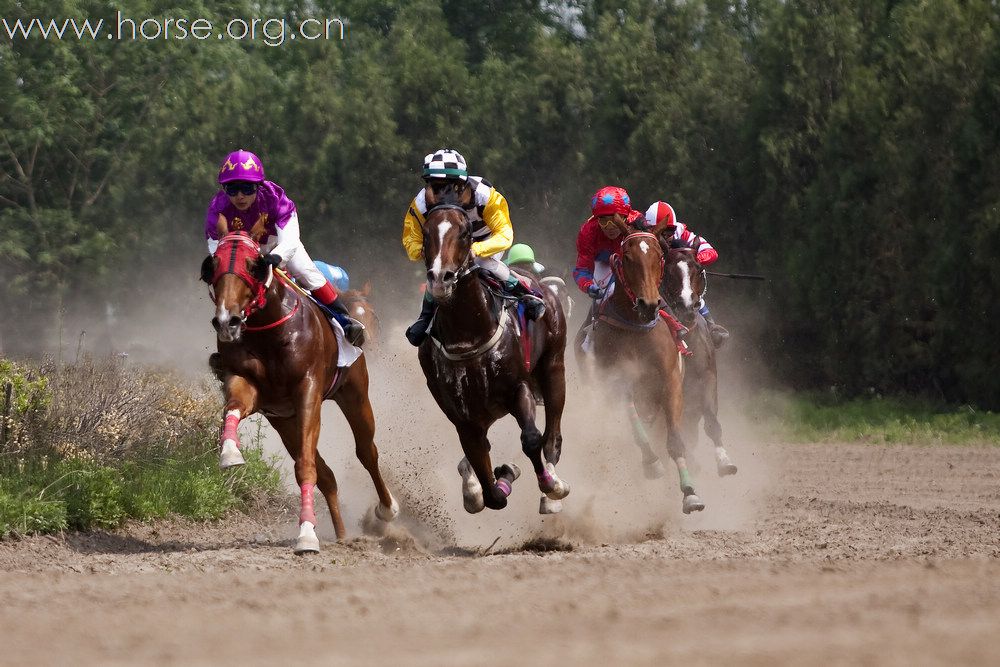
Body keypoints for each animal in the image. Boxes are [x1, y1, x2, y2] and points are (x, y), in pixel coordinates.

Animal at [201, 232, 400, 556]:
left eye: (252, 266)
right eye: (213, 267)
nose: (226, 320)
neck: (268, 332)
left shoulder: (308, 392)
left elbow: (307, 467)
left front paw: (306, 536)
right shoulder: (251, 388)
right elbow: (231, 408)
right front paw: (230, 452)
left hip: (355, 394)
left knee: (366, 451)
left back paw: (387, 509)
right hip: (285, 423)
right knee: (328, 475)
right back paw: (342, 535)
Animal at [414, 193, 572, 516]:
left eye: (464, 233)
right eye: (426, 233)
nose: (440, 279)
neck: (469, 335)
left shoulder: (519, 388)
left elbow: (531, 439)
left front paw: (545, 483)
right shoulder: (464, 417)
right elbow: (491, 493)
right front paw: (497, 478)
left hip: (553, 366)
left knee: (552, 435)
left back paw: (553, 490)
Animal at [588, 227, 708, 516]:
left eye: (657, 258)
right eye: (627, 258)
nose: (649, 304)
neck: (636, 328)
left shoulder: (671, 382)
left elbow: (675, 439)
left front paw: (690, 493)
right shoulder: (617, 384)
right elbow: (635, 428)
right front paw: (651, 463)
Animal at [660, 248, 740, 478]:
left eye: (697, 269)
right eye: (668, 272)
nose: (687, 306)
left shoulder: (708, 380)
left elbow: (712, 422)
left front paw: (725, 462)